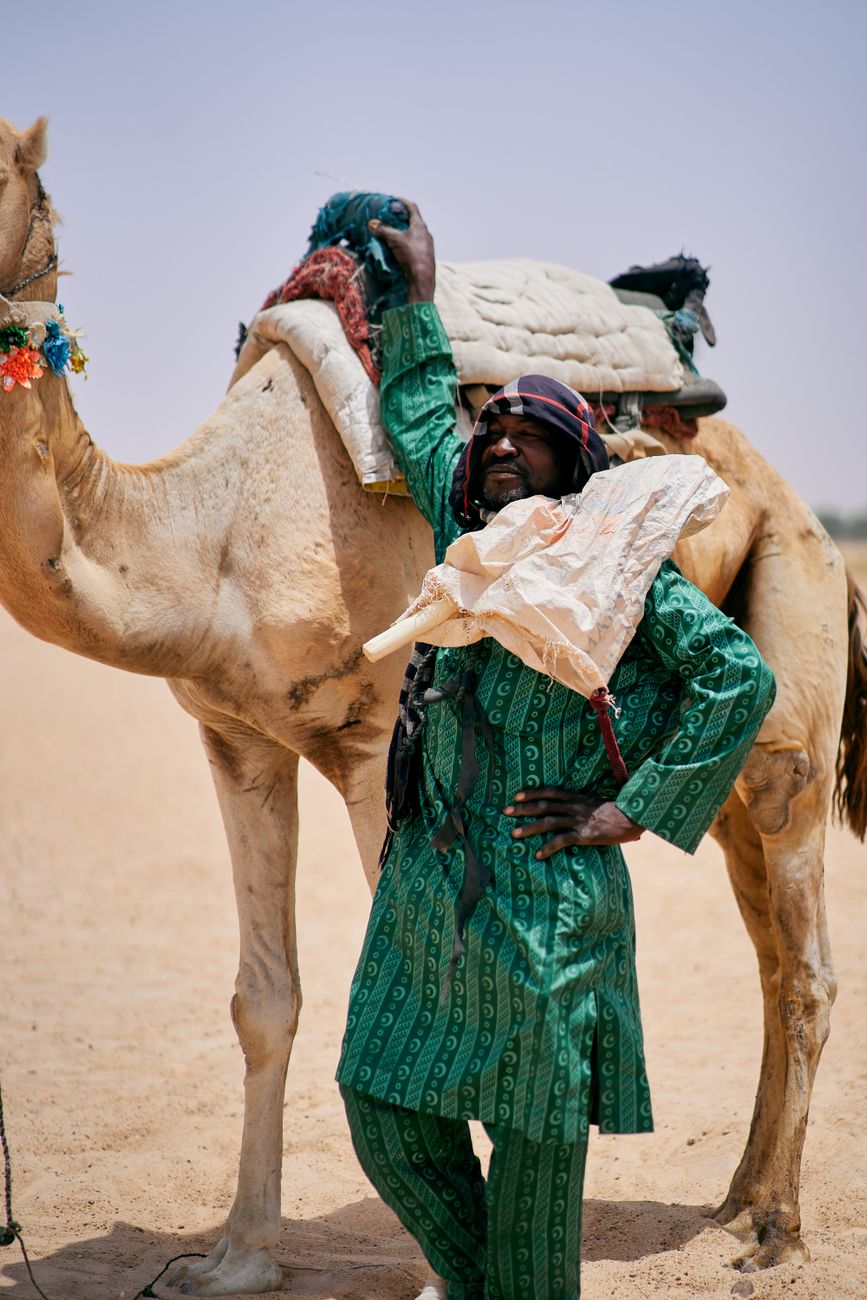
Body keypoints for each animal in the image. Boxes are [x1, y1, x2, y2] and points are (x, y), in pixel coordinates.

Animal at [1, 116, 865, 1296]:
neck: (212, 526)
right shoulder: (235, 735)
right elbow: (263, 1001)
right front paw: (235, 1255)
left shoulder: (378, 744)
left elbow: (428, 990)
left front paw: (434, 1270)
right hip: (731, 778)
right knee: (771, 953)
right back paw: (733, 1202)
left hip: (792, 642)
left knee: (806, 952)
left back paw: (774, 1230)